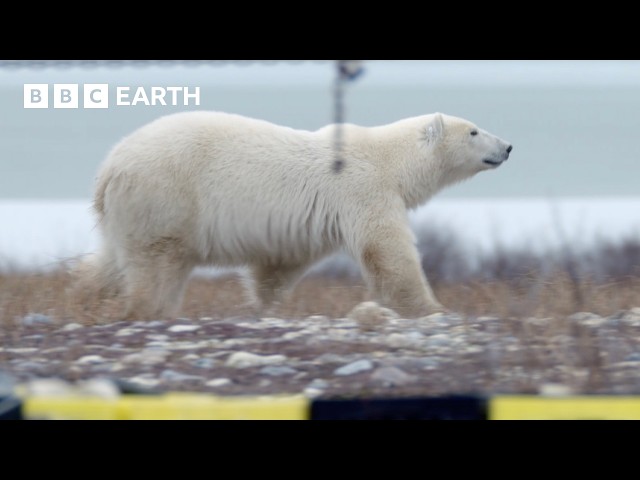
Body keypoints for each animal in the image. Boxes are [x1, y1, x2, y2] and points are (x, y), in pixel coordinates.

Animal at [76, 109, 516, 318]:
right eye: (474, 130)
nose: (508, 146)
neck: (389, 159)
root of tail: (110, 167)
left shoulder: (313, 221)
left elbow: (279, 265)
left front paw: (265, 306)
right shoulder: (363, 190)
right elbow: (388, 253)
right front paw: (433, 309)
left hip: (131, 213)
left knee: (112, 261)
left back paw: (85, 297)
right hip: (166, 197)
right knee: (156, 267)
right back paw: (148, 310)